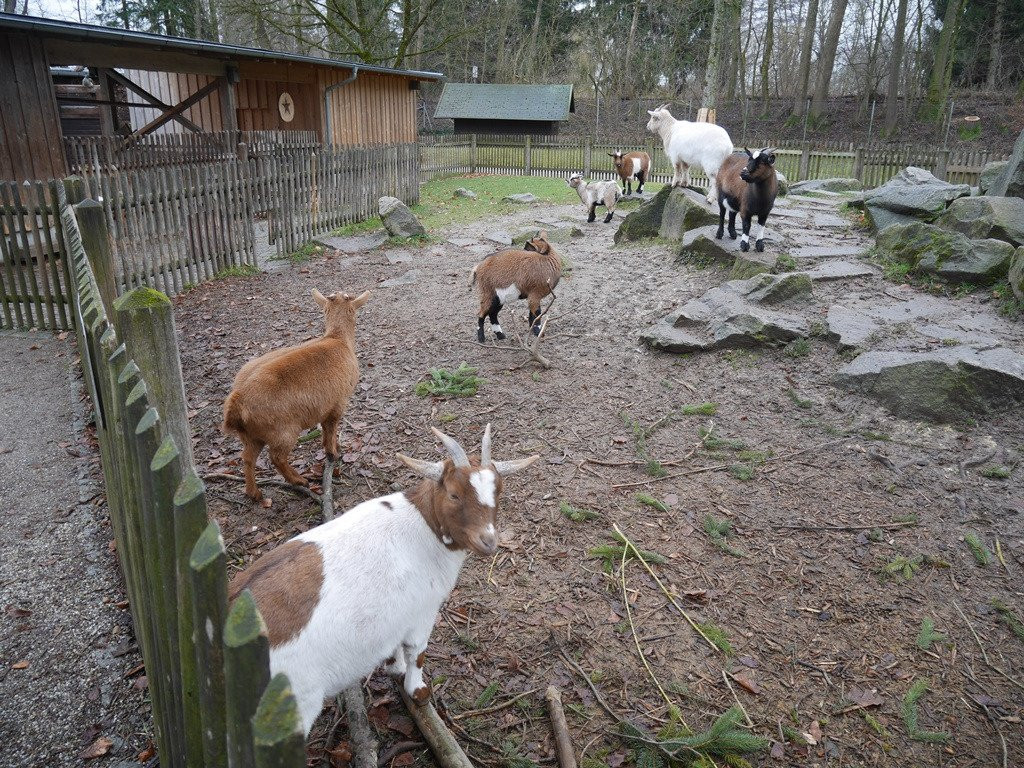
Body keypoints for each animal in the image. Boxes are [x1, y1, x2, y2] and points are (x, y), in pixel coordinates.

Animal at [224, 288, 372, 499]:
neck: (338, 340)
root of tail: (237, 400)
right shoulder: (338, 402)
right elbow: (331, 428)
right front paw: (333, 453)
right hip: (283, 431)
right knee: (276, 457)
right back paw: (300, 480)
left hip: (250, 435)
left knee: (247, 457)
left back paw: (254, 493)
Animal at [229, 428, 540, 733]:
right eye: (453, 494)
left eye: (499, 491)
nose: (488, 541)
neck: (424, 528)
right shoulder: (422, 612)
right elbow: (417, 653)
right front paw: (418, 691)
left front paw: (394, 666)